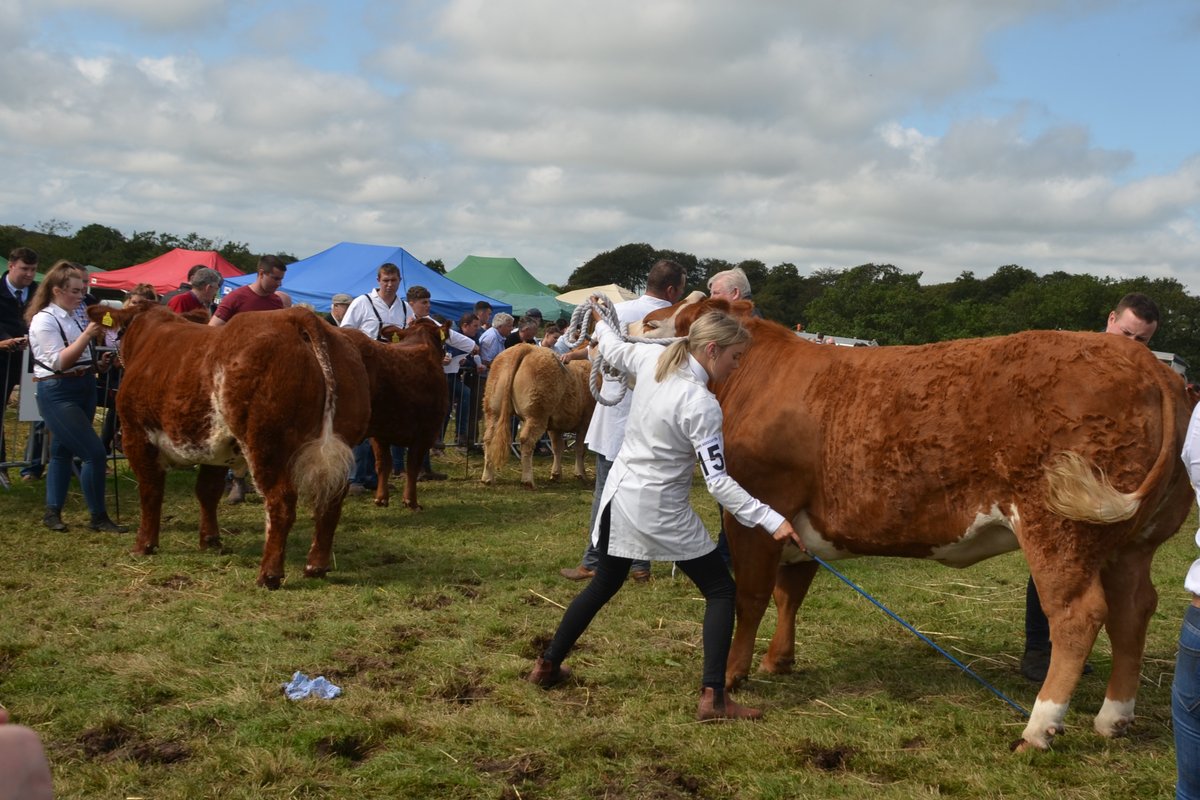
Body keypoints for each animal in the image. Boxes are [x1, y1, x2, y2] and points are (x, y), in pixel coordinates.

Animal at [88, 304, 370, 589]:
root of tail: (294, 315)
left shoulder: (136, 435)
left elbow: (150, 491)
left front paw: (144, 545)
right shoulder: (216, 449)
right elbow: (207, 491)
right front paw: (210, 540)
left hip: (266, 444)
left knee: (280, 502)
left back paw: (269, 574)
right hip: (339, 442)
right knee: (330, 501)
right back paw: (316, 566)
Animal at [335, 319, 448, 509]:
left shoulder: (380, 433)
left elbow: (383, 464)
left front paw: (381, 498)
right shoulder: (426, 432)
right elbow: (412, 465)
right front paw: (411, 501)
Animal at [479, 343, 596, 489]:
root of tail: (525, 347)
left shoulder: (555, 426)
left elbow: (558, 448)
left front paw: (556, 474)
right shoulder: (585, 423)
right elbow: (580, 449)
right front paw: (581, 474)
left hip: (494, 410)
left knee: (489, 438)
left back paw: (487, 477)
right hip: (536, 414)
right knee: (526, 440)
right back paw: (528, 480)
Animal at [638, 295, 1194, 751]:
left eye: (676, 317)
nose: (642, 319)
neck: (755, 377)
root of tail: (1148, 364)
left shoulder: (755, 512)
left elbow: (751, 596)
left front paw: (735, 673)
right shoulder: (799, 526)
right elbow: (789, 594)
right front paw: (780, 661)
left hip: (1058, 528)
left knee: (1078, 614)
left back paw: (1039, 727)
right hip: (1130, 543)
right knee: (1133, 609)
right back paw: (1113, 718)